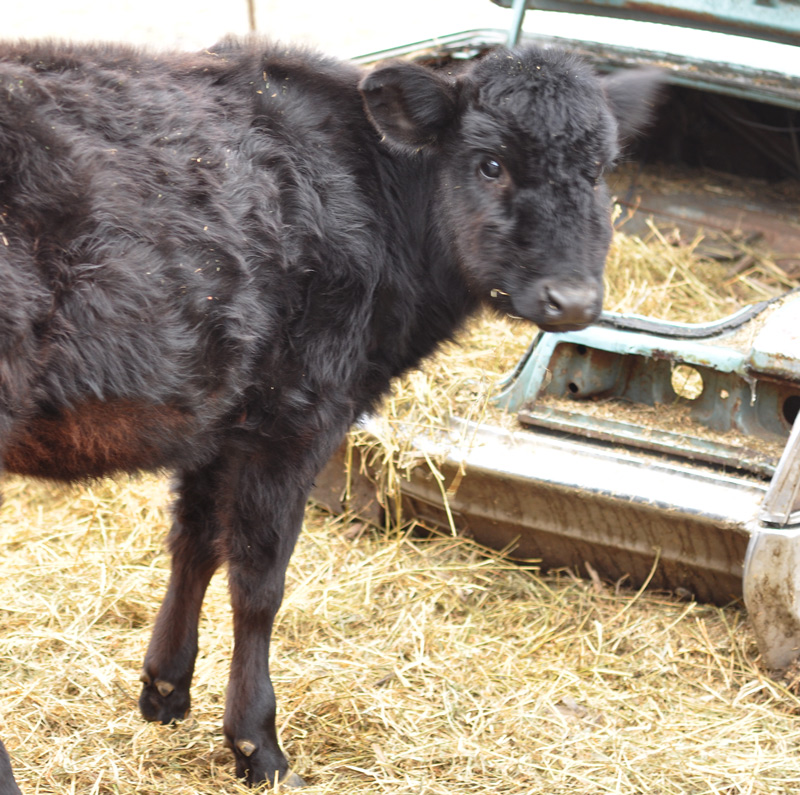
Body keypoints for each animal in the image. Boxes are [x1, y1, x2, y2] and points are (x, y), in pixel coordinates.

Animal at [0, 38, 661, 789]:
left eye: (600, 170)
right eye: (490, 163)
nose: (572, 299)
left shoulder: (219, 419)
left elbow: (194, 542)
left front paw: (165, 690)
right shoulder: (299, 417)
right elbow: (259, 582)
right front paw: (256, 743)